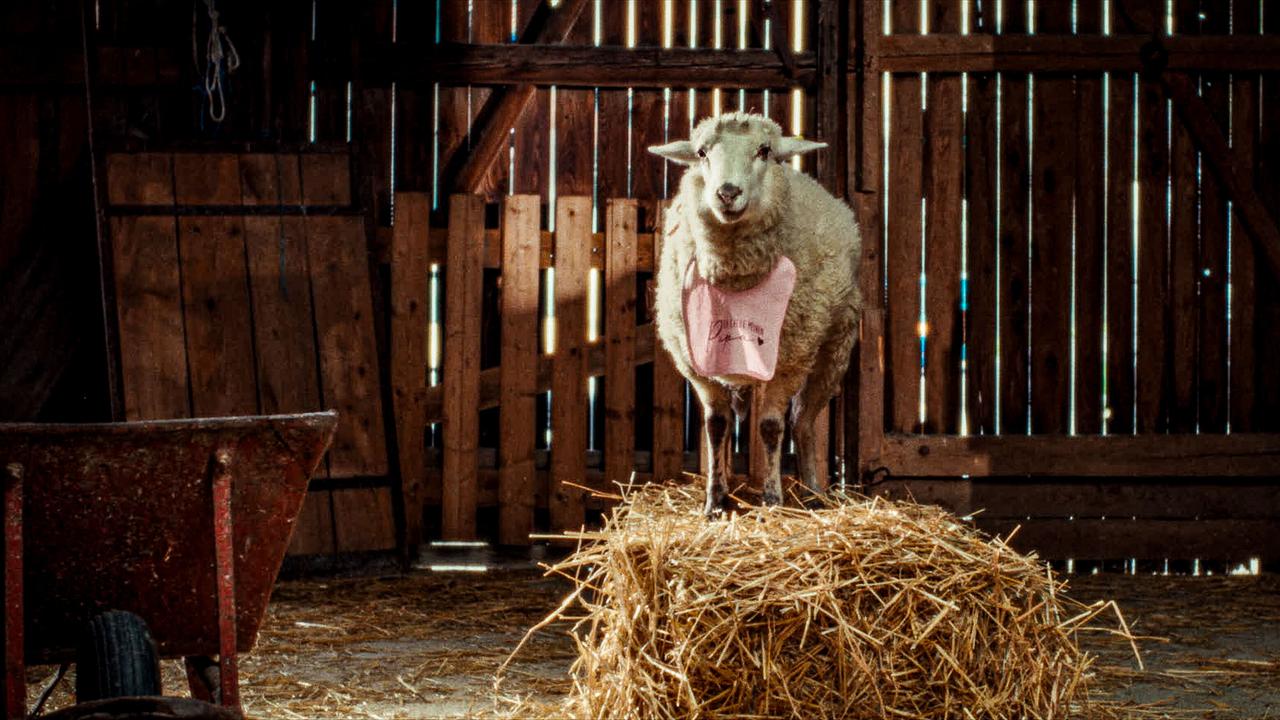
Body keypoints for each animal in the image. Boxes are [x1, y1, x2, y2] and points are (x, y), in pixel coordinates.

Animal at [648, 112, 862, 517]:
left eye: (764, 151)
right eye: (701, 153)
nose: (727, 193)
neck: (734, 276)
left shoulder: (790, 357)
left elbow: (771, 427)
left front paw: (773, 500)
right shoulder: (696, 362)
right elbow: (716, 425)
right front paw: (714, 501)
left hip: (835, 344)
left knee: (803, 422)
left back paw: (813, 492)